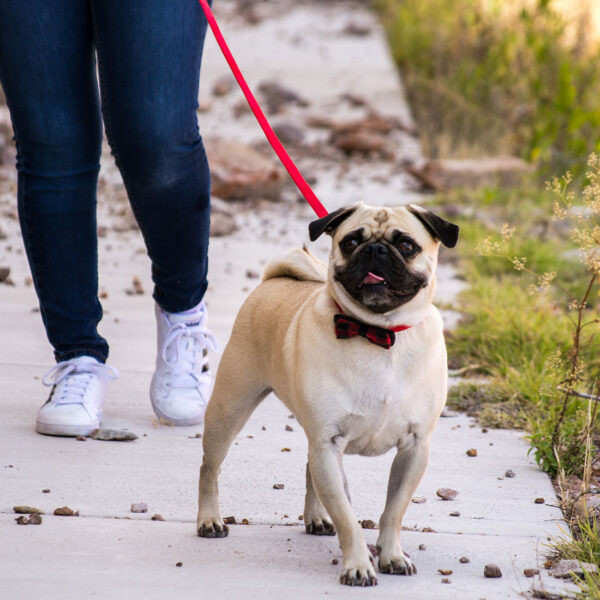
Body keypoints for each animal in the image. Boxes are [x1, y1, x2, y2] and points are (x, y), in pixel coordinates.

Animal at [197, 202, 460, 584]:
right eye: (351, 242)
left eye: (406, 245)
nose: (375, 249)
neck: (379, 334)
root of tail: (275, 280)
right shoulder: (329, 443)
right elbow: (348, 517)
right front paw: (359, 564)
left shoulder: (414, 447)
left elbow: (393, 511)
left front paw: (392, 555)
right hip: (229, 408)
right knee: (210, 467)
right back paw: (209, 520)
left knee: (309, 467)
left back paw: (317, 517)